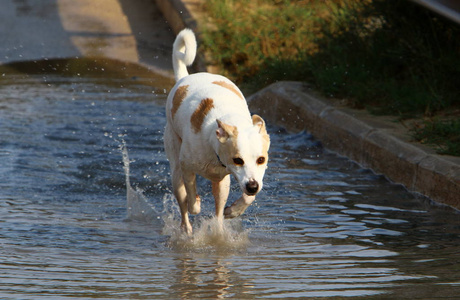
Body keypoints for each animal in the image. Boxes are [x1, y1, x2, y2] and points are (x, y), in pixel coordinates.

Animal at [164, 28, 270, 234]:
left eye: (261, 160)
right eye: (238, 160)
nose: (252, 186)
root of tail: (184, 78)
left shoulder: (237, 179)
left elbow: (247, 198)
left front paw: (234, 210)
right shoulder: (187, 165)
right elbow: (191, 194)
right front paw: (196, 203)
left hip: (222, 184)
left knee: (218, 210)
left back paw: (219, 228)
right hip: (175, 166)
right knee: (182, 200)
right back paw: (187, 229)